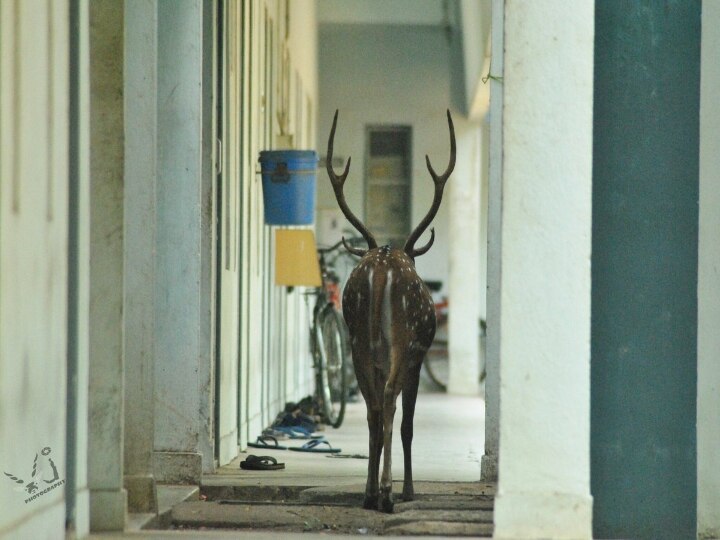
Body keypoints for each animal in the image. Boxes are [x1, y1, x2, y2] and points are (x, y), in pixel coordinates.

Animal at [326, 108, 456, 510]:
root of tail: (382, 268)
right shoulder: (418, 358)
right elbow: (408, 424)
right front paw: (409, 489)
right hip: (404, 338)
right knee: (388, 402)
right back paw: (386, 493)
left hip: (358, 340)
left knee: (372, 405)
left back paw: (370, 493)